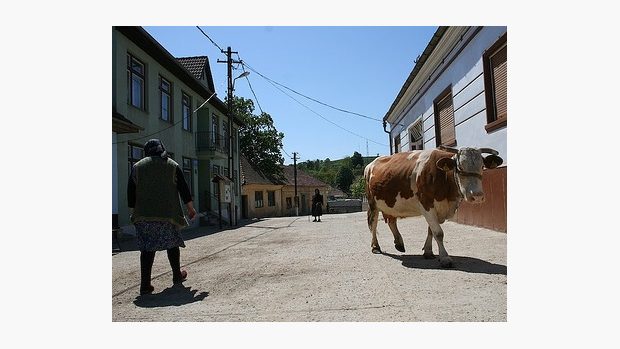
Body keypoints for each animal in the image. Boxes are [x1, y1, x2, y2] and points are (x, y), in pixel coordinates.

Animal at [364, 145, 504, 268]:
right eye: (459, 167)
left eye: (482, 166)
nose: (477, 196)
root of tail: (371, 164)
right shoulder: (426, 204)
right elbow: (438, 233)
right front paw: (445, 258)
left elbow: (431, 231)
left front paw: (428, 252)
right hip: (372, 203)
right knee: (373, 224)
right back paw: (375, 247)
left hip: (390, 202)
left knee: (391, 221)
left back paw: (399, 243)